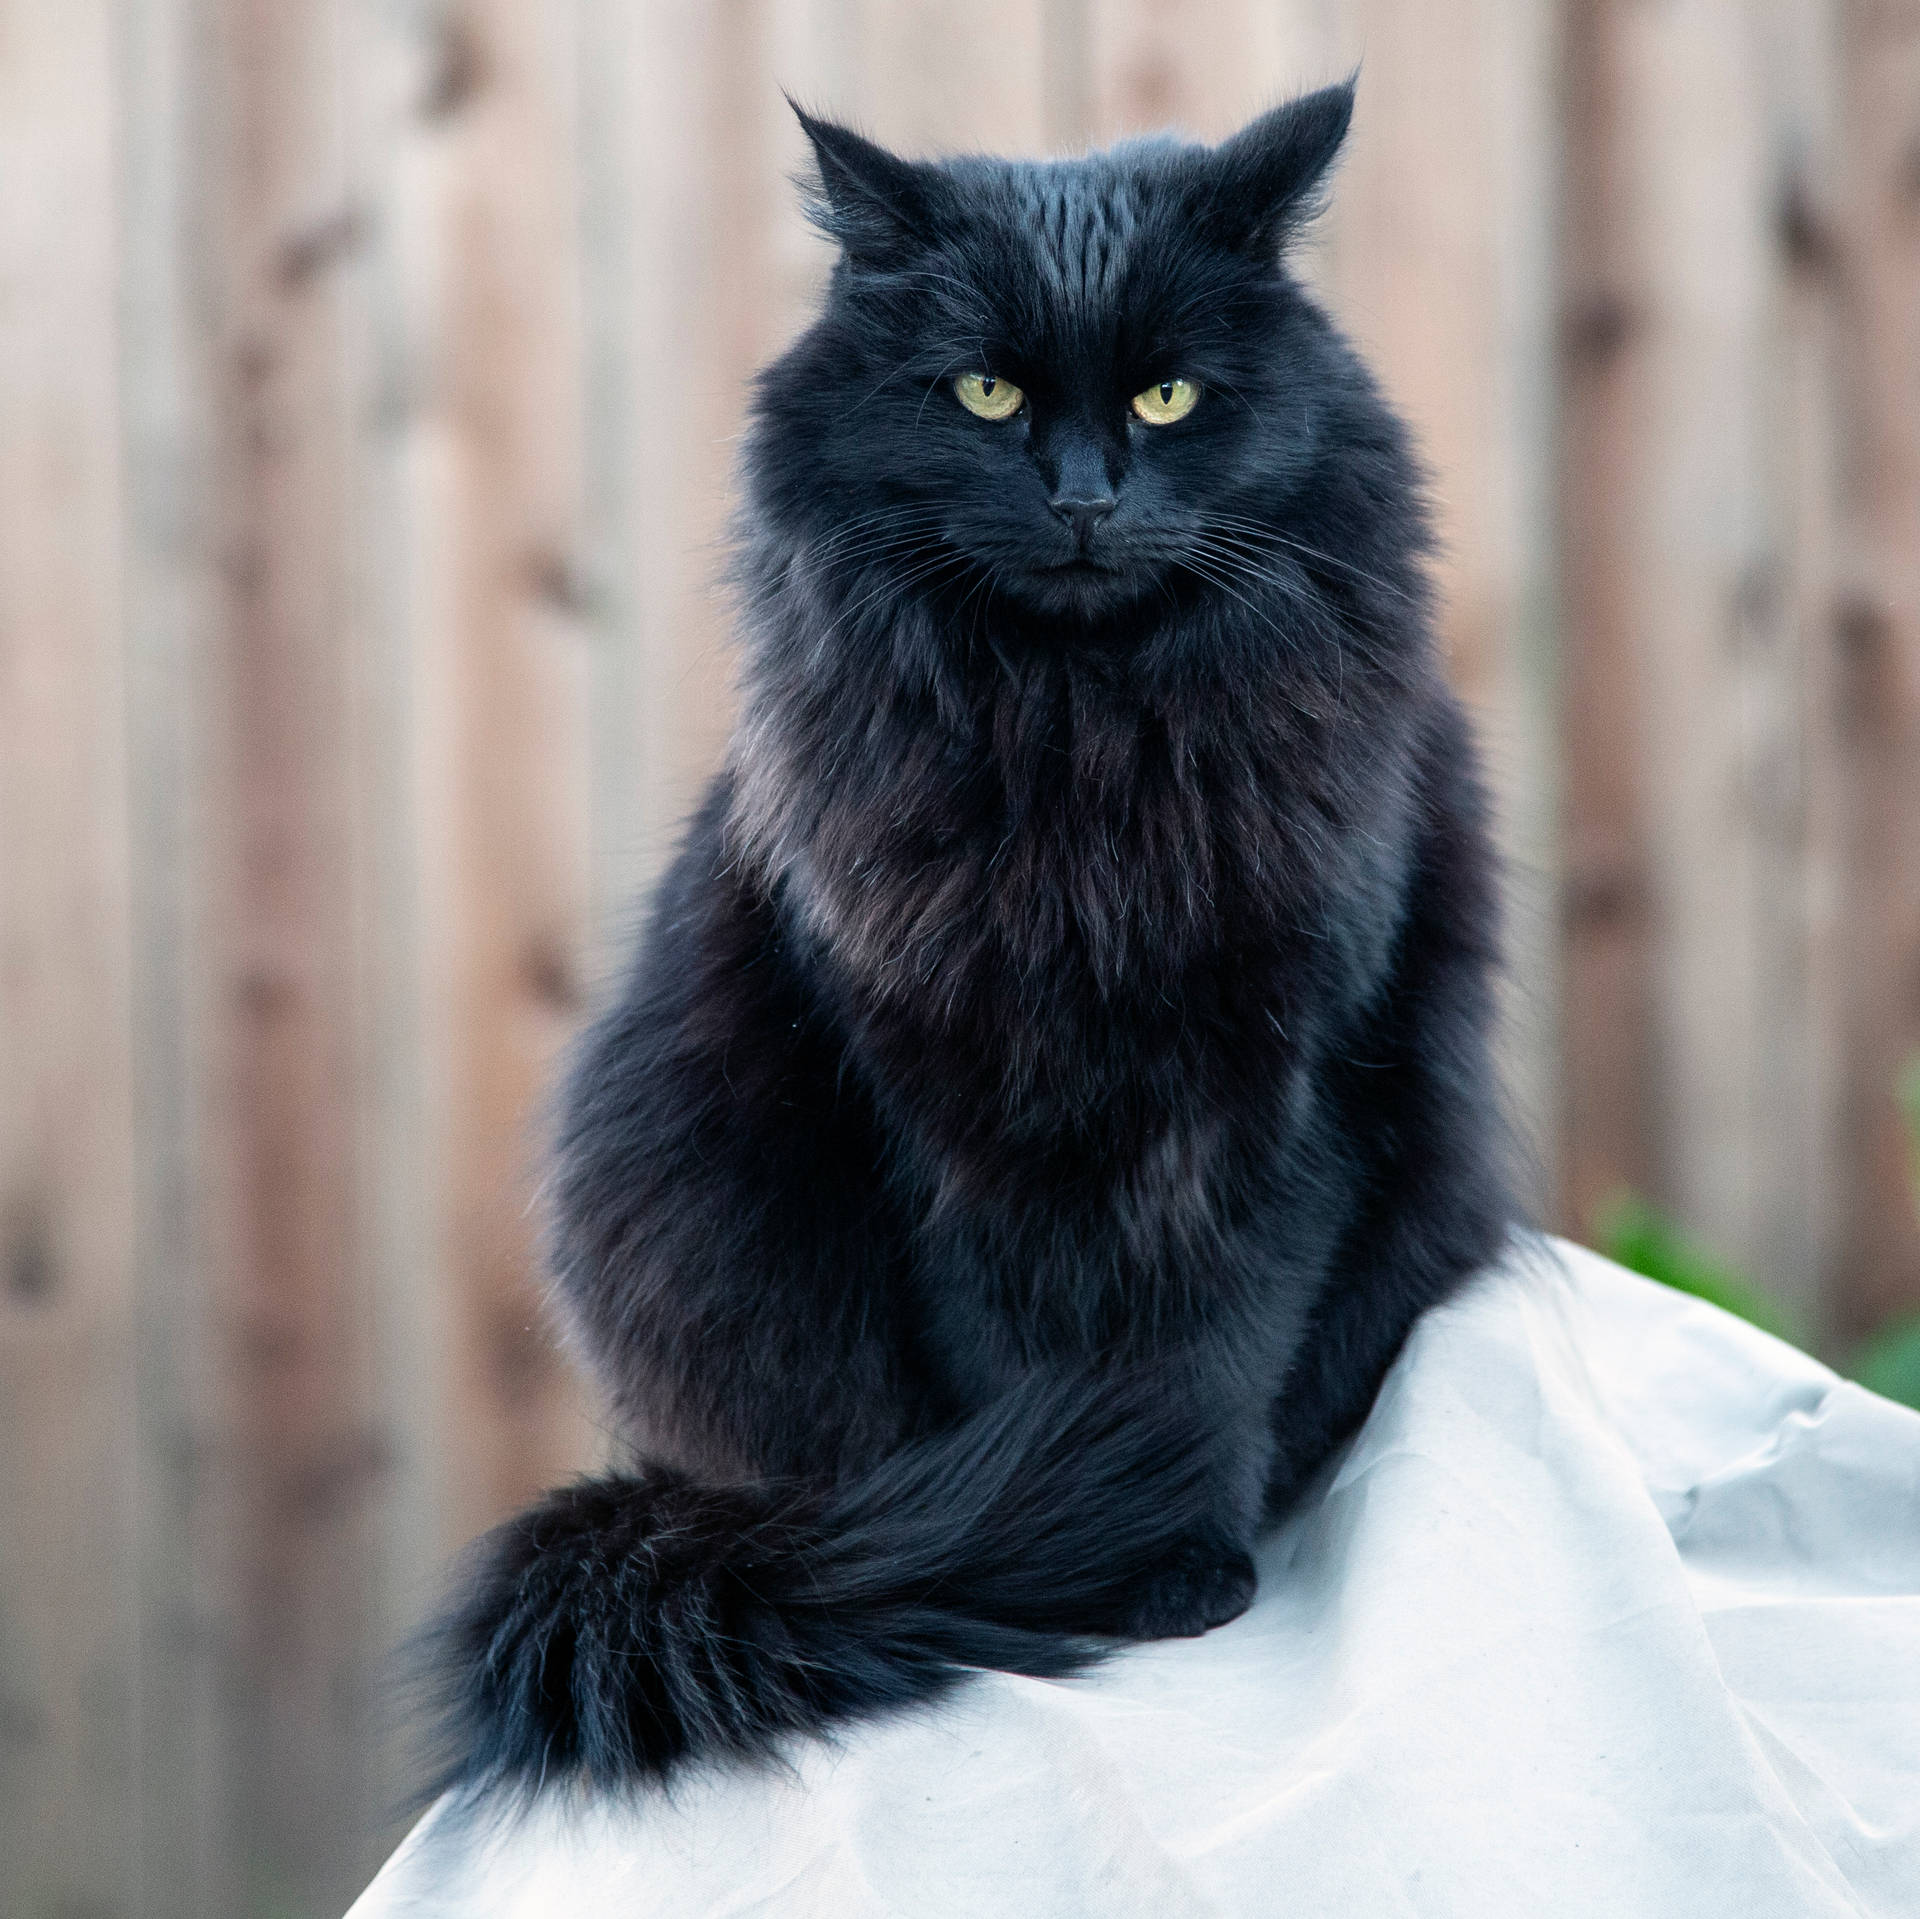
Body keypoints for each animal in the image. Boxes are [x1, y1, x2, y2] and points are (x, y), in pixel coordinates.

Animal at [432, 82, 1512, 1805]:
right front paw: (1054, 1552)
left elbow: (1213, 1352)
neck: (1086, 752)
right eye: (987, 393)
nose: (1082, 496)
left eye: (1167, 395)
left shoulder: (1285, 1098)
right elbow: (1009, 1360)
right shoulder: (934, 1104)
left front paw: (1174, 1560)